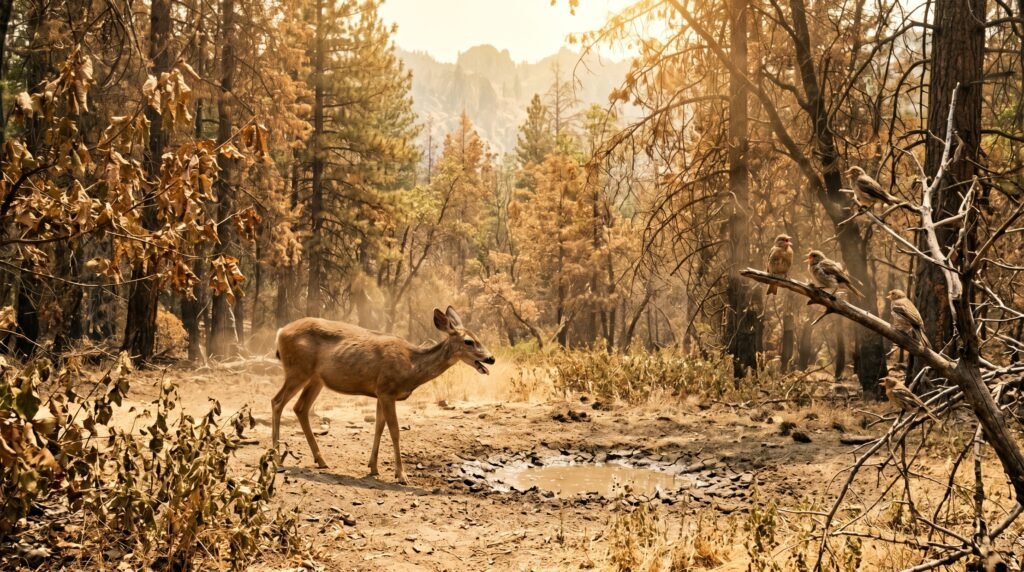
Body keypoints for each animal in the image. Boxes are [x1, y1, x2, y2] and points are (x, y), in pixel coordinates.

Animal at [272, 306, 495, 484]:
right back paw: (276, 458)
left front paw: (373, 467)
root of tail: (280, 331)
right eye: (469, 341)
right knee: (277, 402)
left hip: (315, 379)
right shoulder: (387, 390)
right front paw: (401, 475)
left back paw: (321, 460)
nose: (491, 358)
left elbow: (378, 426)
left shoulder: (380, 392)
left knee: (300, 408)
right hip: (298, 370)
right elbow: (394, 430)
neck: (412, 366)